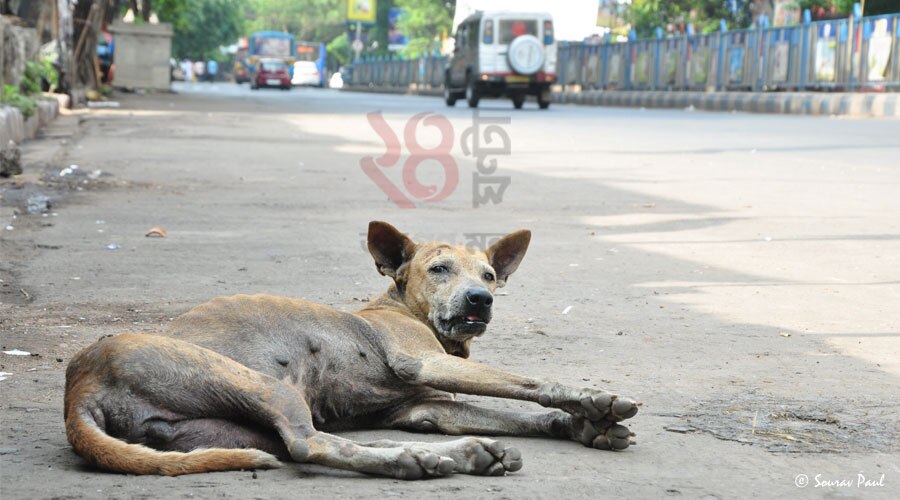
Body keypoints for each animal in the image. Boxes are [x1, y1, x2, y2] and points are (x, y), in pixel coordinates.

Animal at [65, 221, 640, 478]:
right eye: (439, 269)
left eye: (490, 276)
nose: (480, 300)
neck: (403, 307)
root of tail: (78, 386)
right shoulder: (424, 361)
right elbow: (528, 383)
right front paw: (590, 400)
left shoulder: (428, 408)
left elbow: (507, 412)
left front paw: (578, 426)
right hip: (265, 386)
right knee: (308, 445)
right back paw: (419, 460)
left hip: (220, 429)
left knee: (314, 442)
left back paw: (459, 453)